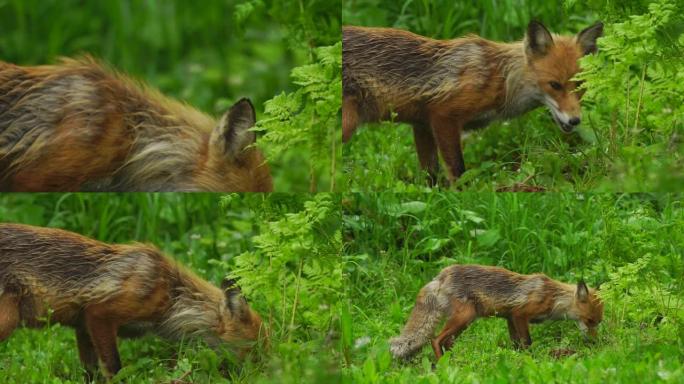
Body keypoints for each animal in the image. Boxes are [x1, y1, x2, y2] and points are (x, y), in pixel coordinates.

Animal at [0, 224, 268, 380]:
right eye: (256, 350)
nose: (269, 373)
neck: (172, 297)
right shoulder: (99, 315)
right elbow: (115, 368)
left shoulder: (83, 327)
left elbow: (91, 372)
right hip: (8, 321)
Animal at [344, 20, 600, 185]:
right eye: (555, 85)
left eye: (581, 85)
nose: (575, 121)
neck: (501, 79)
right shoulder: (443, 117)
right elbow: (458, 171)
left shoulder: (422, 125)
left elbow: (430, 176)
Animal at [390, 264, 604, 360]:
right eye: (589, 320)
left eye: (597, 322)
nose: (595, 343)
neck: (553, 298)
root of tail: (441, 276)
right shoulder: (519, 314)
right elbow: (527, 342)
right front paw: (529, 360)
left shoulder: (509, 317)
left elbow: (516, 343)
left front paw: (516, 360)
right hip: (464, 317)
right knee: (435, 340)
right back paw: (442, 363)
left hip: (464, 321)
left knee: (447, 341)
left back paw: (455, 361)